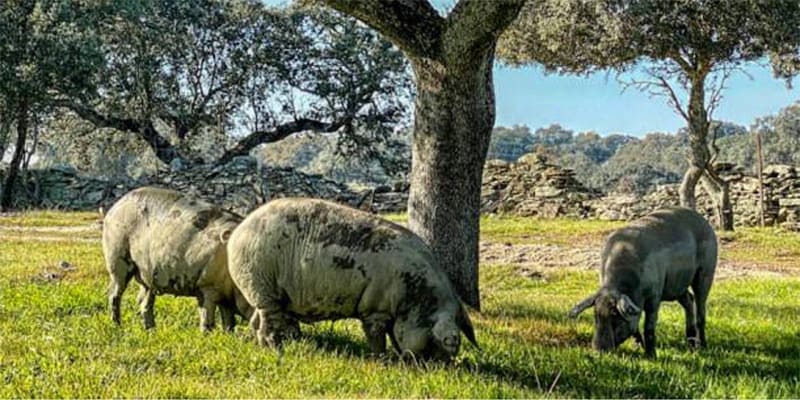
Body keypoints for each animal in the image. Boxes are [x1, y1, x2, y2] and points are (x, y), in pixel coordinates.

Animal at [101, 188, 250, 332]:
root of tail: (113, 208)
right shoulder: (206, 286)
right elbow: (207, 316)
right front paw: (207, 334)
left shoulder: (225, 296)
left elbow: (229, 320)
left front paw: (228, 334)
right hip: (116, 256)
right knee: (114, 293)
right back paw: (118, 326)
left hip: (147, 276)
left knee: (144, 301)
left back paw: (151, 330)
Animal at [225, 198, 478, 360]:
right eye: (448, 342)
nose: (442, 368)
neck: (414, 297)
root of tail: (238, 233)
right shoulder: (375, 309)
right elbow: (376, 336)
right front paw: (382, 360)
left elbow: (392, 335)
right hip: (261, 282)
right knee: (267, 320)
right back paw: (275, 349)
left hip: (266, 291)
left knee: (258, 318)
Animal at [568, 208, 720, 358]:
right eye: (596, 313)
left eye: (615, 314)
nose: (598, 351)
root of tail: (704, 221)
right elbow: (636, 325)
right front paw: (637, 347)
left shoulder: (655, 294)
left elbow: (649, 326)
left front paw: (651, 356)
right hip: (677, 286)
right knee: (689, 299)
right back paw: (691, 344)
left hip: (706, 271)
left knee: (701, 308)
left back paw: (702, 347)